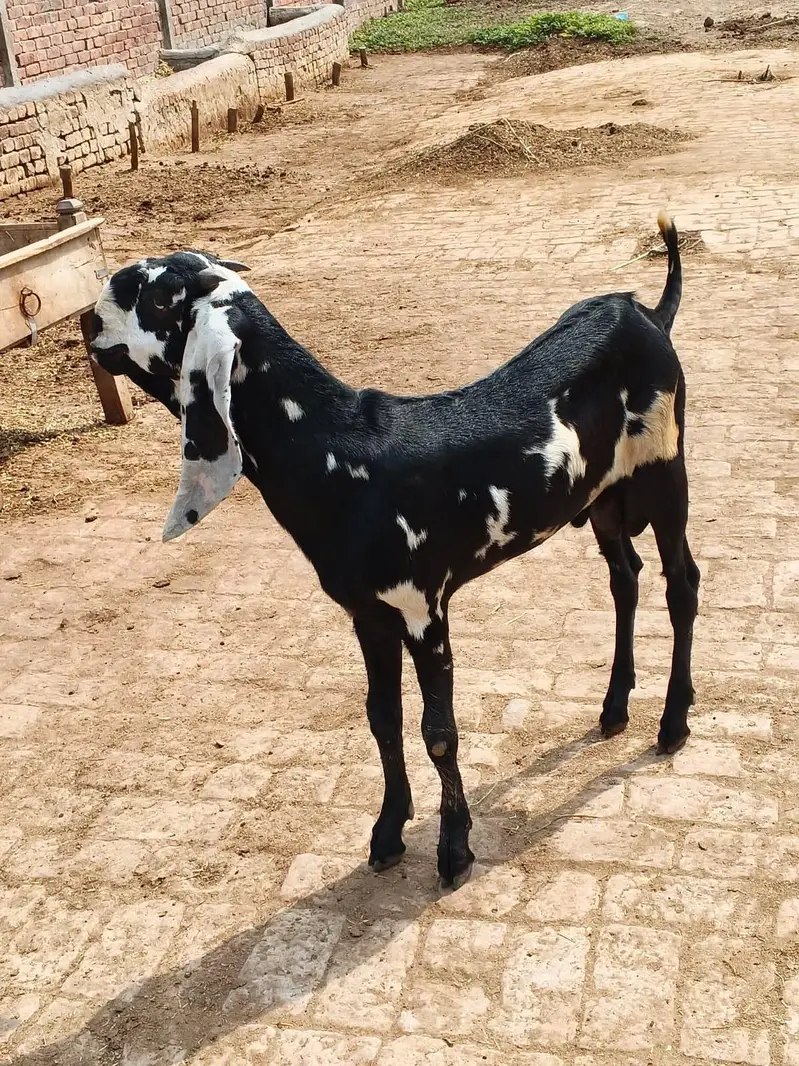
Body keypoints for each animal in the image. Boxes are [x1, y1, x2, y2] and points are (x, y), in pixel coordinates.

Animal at [88, 214, 699, 890]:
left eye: (157, 298)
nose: (91, 316)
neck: (337, 449)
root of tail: (647, 313)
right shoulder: (368, 614)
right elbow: (382, 716)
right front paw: (387, 831)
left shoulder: (423, 609)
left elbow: (439, 733)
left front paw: (454, 849)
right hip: (606, 499)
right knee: (626, 578)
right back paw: (614, 707)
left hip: (666, 471)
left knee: (681, 584)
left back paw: (673, 722)